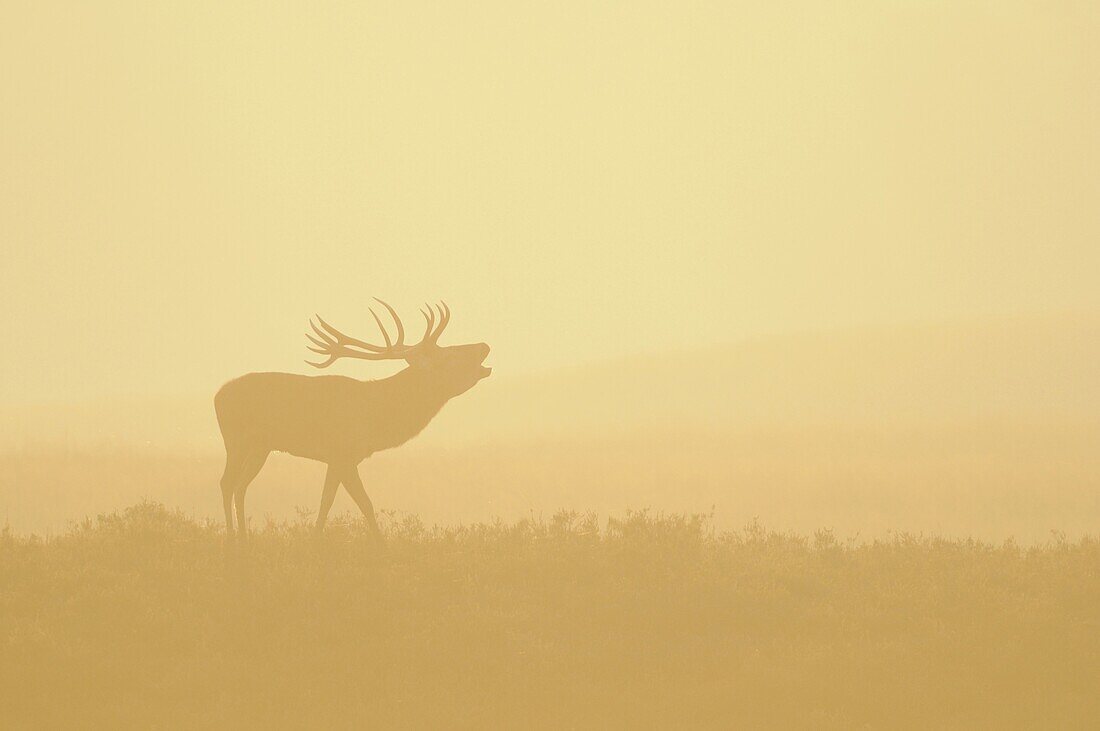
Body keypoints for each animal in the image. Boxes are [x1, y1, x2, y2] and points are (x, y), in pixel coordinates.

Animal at [214, 298, 490, 540]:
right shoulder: (343, 453)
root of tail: (217, 397)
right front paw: (380, 544)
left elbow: (326, 501)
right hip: (236, 440)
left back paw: (244, 537)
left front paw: (314, 540)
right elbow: (364, 503)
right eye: (449, 355)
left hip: (261, 448)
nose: (485, 345)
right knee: (226, 483)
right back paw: (230, 538)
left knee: (241, 486)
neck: (376, 415)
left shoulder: (338, 459)